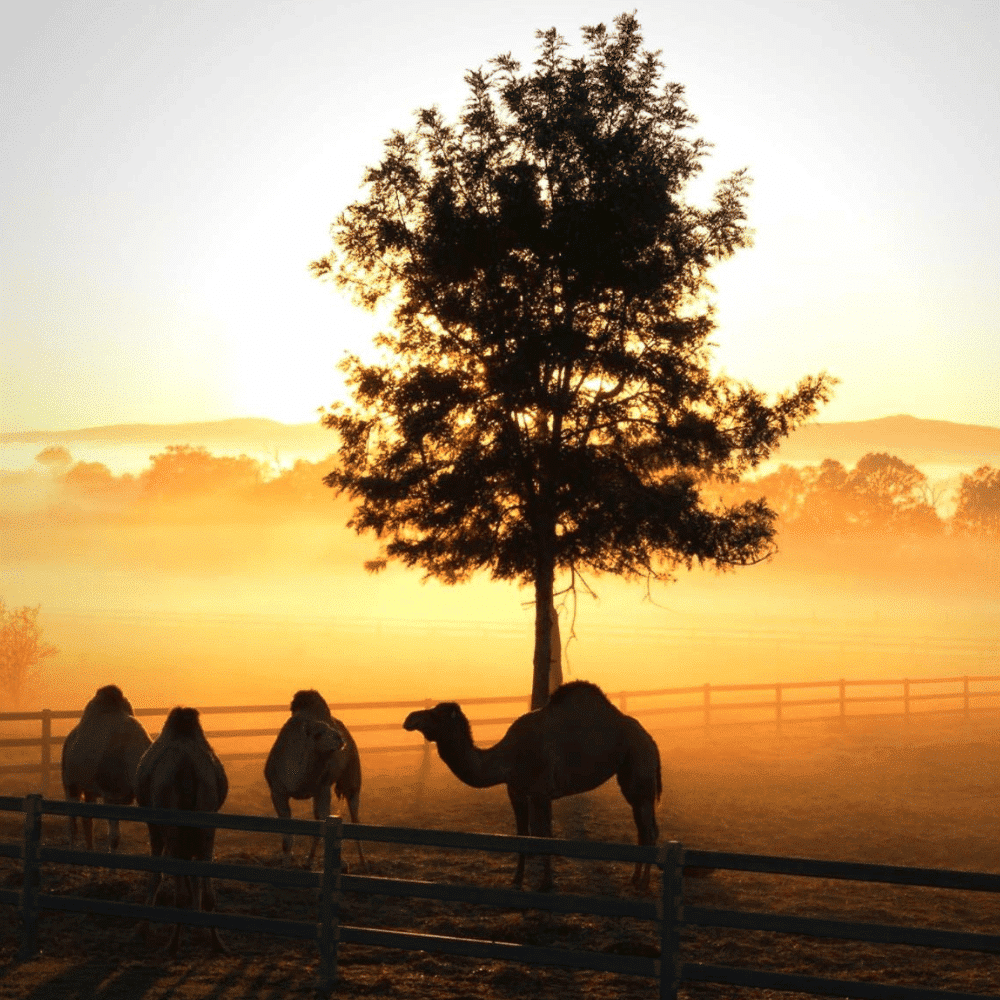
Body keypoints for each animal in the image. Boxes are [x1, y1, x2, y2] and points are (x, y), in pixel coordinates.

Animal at [59, 688, 150, 852]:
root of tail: (69, 738)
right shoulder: (111, 795)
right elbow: (114, 838)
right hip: (70, 782)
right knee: (72, 821)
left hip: (89, 788)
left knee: (87, 818)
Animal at [135, 704, 229, 952]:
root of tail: (187, 767)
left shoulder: (154, 826)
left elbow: (156, 874)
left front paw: (142, 929)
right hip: (206, 822)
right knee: (205, 887)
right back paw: (216, 942)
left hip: (171, 824)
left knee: (180, 889)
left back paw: (173, 944)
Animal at [266, 688, 368, 868]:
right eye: (318, 734)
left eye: (329, 727)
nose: (340, 738)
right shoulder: (277, 792)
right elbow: (287, 837)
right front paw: (286, 864)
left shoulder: (323, 788)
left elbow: (323, 824)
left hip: (352, 777)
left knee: (354, 815)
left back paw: (362, 863)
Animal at [402, 680, 660, 892]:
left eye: (436, 715)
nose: (409, 719)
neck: (509, 756)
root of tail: (650, 739)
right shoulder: (516, 791)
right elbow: (522, 834)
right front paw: (517, 879)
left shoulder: (540, 792)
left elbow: (544, 835)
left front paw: (546, 883)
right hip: (629, 779)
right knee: (641, 827)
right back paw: (635, 879)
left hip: (640, 769)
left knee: (649, 828)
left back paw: (644, 882)